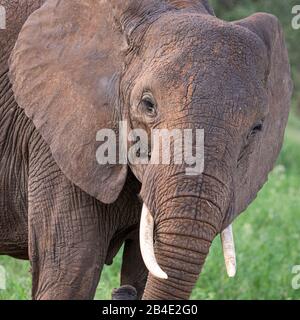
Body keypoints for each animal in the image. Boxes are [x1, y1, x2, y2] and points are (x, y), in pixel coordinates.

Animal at [0, 0, 292, 300]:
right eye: (148, 105)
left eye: (256, 128)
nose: (121, 292)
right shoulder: (56, 141)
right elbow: (69, 276)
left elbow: (142, 266)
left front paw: (132, 285)